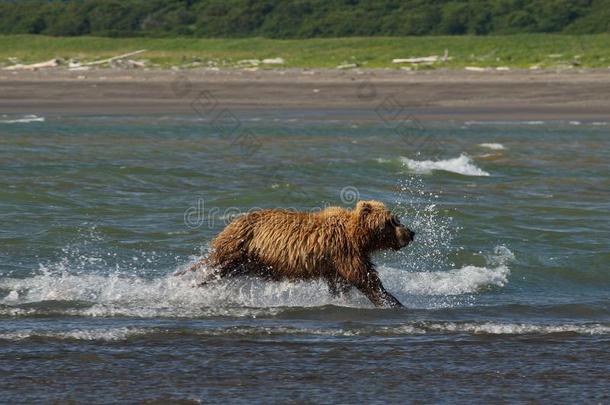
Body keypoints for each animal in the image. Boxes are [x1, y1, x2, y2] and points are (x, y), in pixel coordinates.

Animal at [185, 199, 414, 306]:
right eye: (393, 220)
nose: (411, 233)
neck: (358, 237)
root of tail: (230, 224)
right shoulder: (344, 252)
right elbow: (365, 279)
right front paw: (392, 301)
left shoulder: (337, 263)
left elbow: (343, 283)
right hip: (239, 249)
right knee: (215, 268)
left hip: (249, 261)